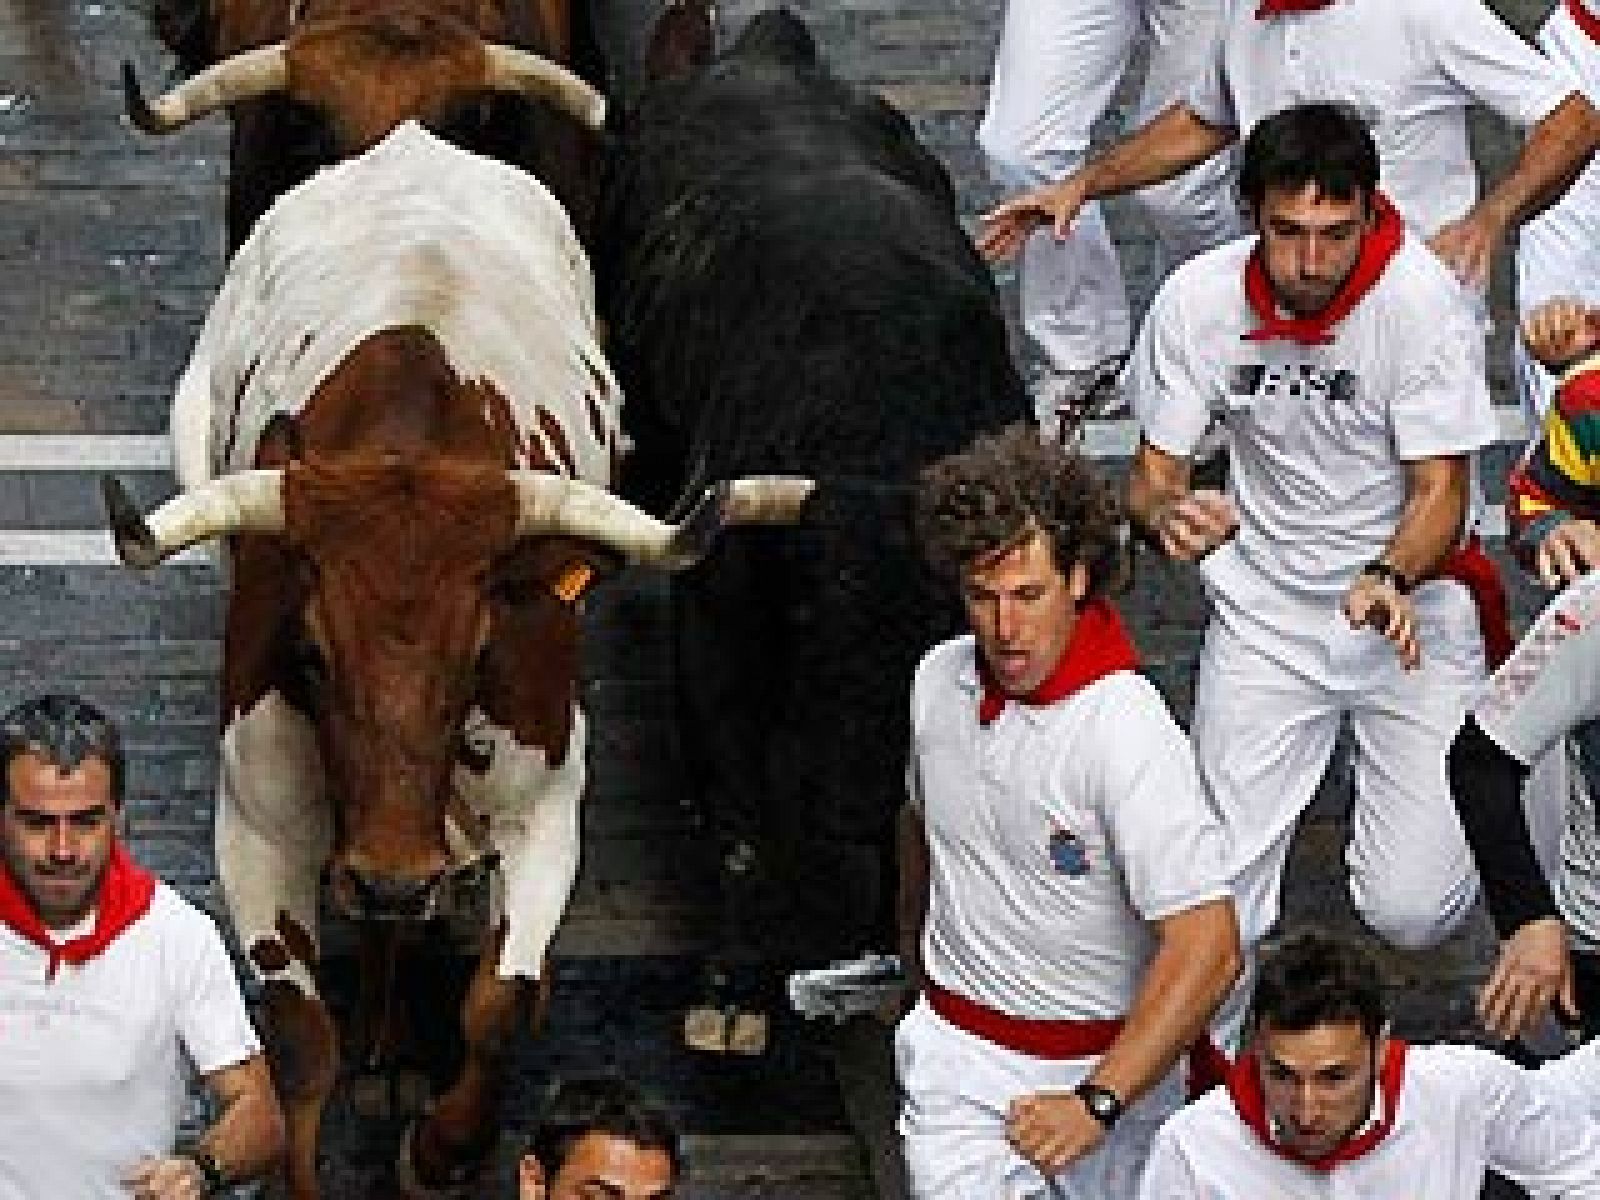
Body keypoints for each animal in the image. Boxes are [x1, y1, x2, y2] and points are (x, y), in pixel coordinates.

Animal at [111, 25, 806, 1196]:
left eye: (483, 647)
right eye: (308, 654)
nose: (391, 873)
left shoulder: (547, 800)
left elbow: (499, 1006)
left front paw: (442, 1148)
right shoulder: (256, 818)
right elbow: (298, 1042)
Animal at [595, 7, 1030, 1004]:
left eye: (966, 623)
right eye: (805, 611)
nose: (856, 810)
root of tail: (765, 47)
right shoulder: (714, 608)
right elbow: (737, 813)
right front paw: (728, 991)